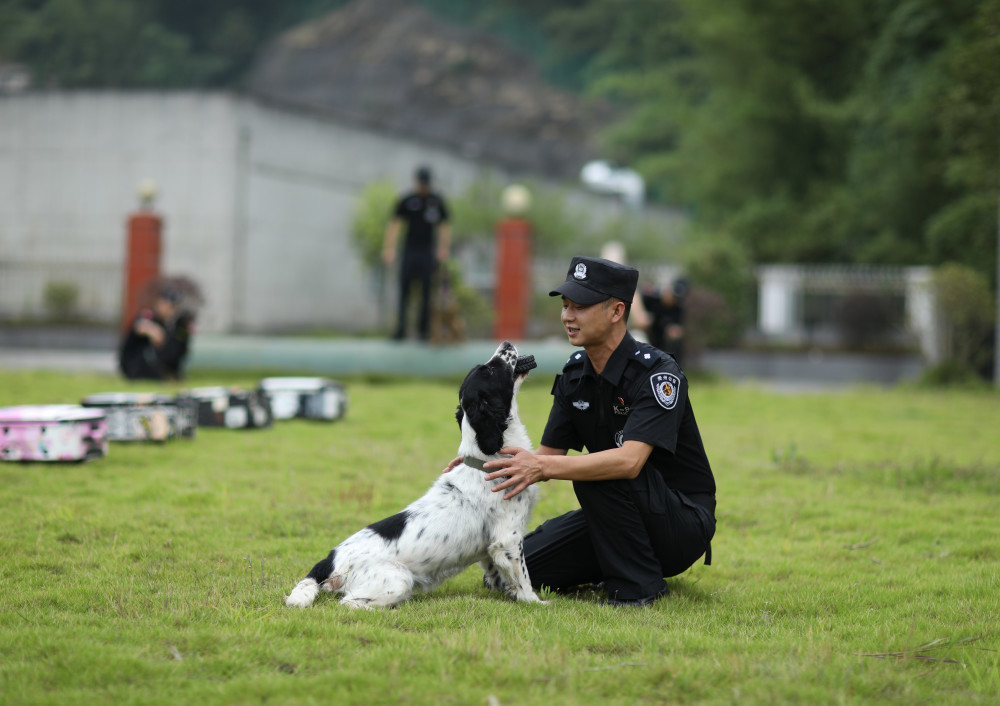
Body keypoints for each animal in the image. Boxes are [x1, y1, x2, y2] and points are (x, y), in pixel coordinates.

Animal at [286, 340, 544, 604]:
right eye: (490, 370)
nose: (506, 343)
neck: (486, 461)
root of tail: (329, 560)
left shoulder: (490, 547)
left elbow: (497, 575)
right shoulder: (508, 539)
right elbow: (523, 581)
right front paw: (537, 603)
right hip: (398, 580)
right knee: (351, 602)